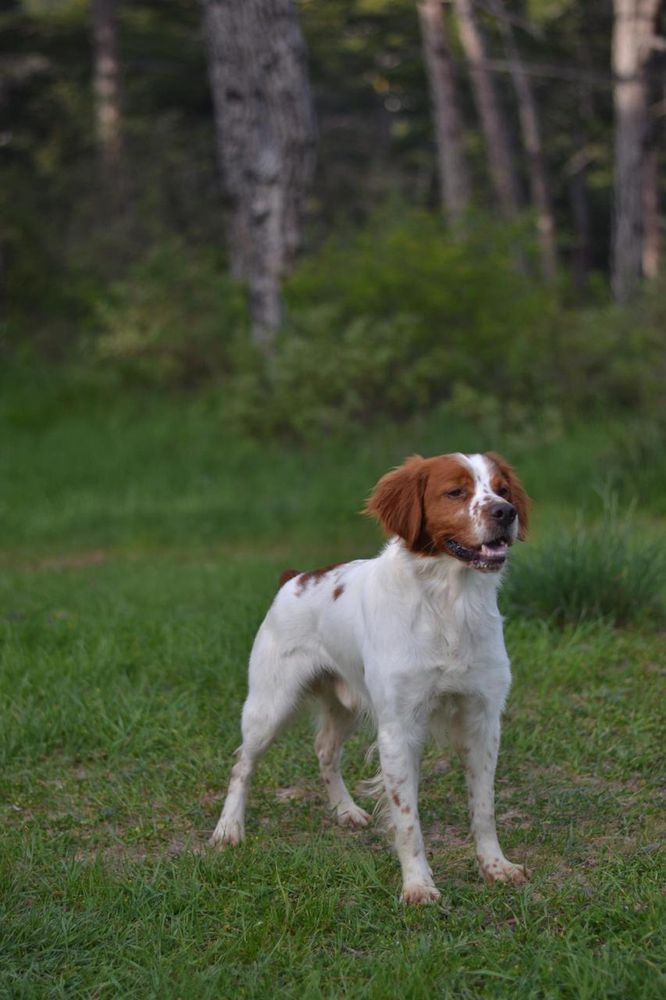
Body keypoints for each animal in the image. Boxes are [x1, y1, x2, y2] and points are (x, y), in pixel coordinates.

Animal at [210, 454, 532, 908]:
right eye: (455, 492)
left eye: (503, 489)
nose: (506, 512)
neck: (447, 606)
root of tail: (294, 578)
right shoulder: (399, 728)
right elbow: (408, 821)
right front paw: (417, 885)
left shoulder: (483, 719)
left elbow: (483, 808)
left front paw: (495, 866)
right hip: (269, 706)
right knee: (242, 764)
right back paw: (228, 829)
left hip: (344, 704)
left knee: (324, 749)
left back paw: (345, 811)